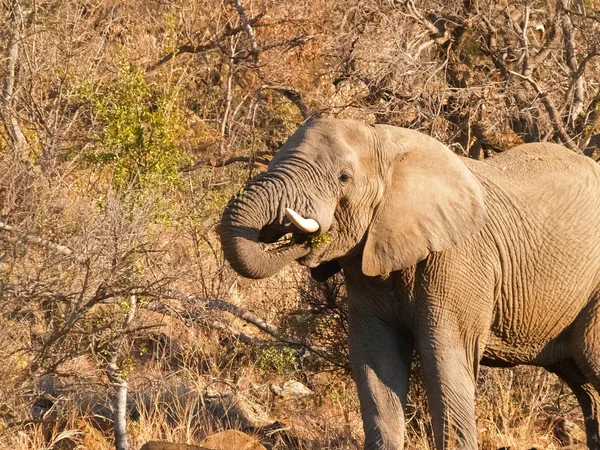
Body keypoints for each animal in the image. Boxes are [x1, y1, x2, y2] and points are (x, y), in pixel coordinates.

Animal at [220, 118, 600, 450]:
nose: (297, 232)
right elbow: (375, 358)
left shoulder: (459, 260)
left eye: (344, 178)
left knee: (588, 358)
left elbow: (444, 357)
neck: (389, 147)